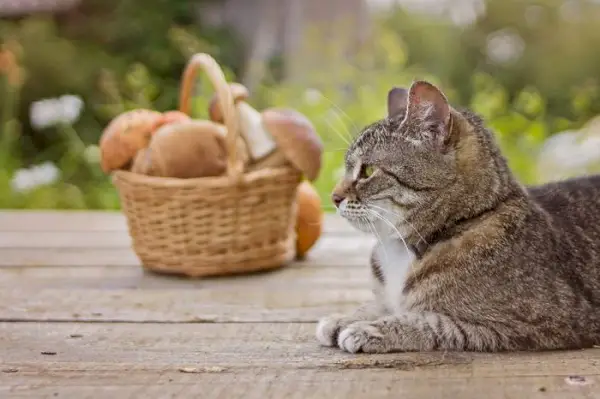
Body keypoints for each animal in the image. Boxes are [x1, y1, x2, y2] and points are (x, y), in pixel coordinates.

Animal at [318, 80, 600, 354]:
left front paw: (372, 329)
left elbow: (431, 321)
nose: (333, 197)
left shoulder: (538, 322)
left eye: (367, 170)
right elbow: (379, 303)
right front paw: (346, 317)